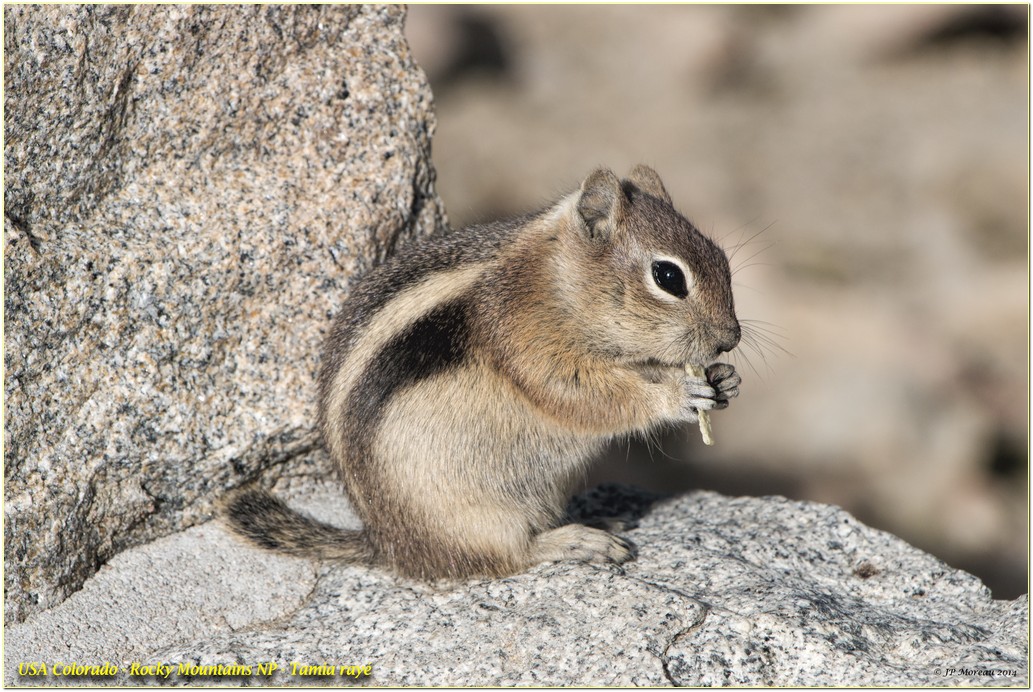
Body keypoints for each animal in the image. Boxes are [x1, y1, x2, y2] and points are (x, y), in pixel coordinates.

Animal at [226, 164, 741, 580]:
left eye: (721, 258)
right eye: (669, 277)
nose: (731, 338)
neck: (556, 281)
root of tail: (390, 547)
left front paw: (724, 378)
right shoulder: (526, 341)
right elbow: (583, 395)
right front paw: (677, 396)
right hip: (473, 517)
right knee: (508, 556)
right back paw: (576, 539)